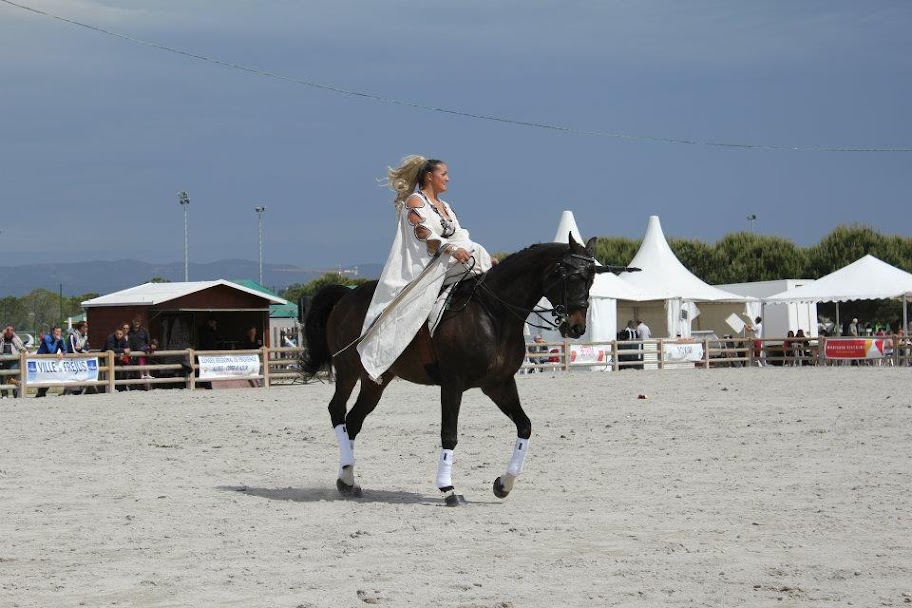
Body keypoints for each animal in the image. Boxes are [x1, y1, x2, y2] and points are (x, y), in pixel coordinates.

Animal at [304, 235, 612, 506]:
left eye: (592, 278)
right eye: (572, 277)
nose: (577, 327)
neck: (494, 314)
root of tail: (346, 295)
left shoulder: (499, 384)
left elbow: (524, 426)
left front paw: (503, 484)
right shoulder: (453, 384)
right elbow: (449, 434)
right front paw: (448, 489)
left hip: (376, 378)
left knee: (354, 420)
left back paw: (347, 480)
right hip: (348, 369)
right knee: (337, 411)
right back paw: (346, 472)